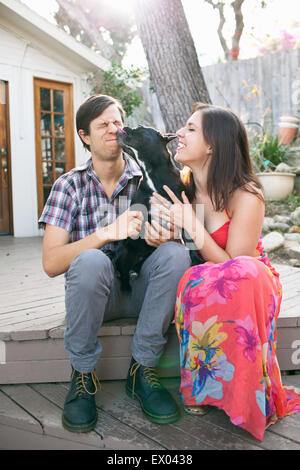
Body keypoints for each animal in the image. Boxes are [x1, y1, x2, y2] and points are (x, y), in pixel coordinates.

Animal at [112, 123, 202, 290]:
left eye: (139, 128)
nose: (125, 126)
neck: (151, 173)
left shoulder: (181, 208)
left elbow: (187, 236)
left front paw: (196, 260)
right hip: (124, 252)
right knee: (121, 269)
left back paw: (135, 269)